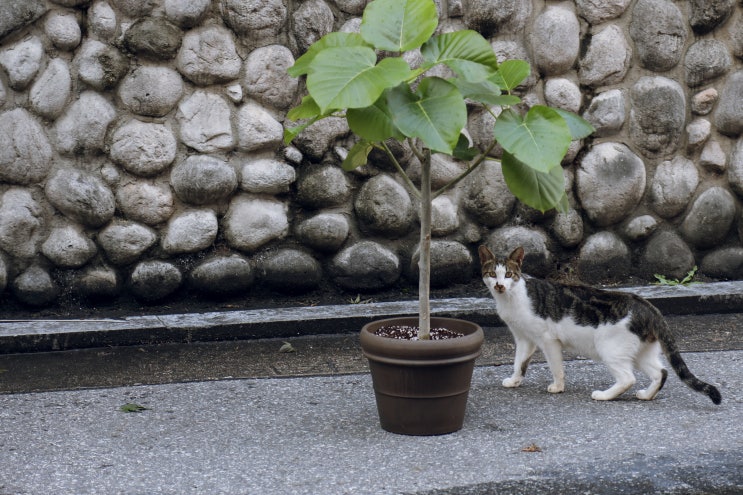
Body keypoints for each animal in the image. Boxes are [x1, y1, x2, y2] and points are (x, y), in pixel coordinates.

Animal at [480, 246, 724, 404]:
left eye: (508, 274)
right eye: (492, 273)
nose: (499, 285)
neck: (512, 298)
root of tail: (649, 307)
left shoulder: (548, 340)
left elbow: (556, 367)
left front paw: (558, 387)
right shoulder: (524, 338)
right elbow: (519, 363)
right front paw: (514, 381)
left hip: (610, 348)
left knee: (628, 378)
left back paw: (604, 395)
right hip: (641, 351)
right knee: (661, 372)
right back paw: (647, 395)